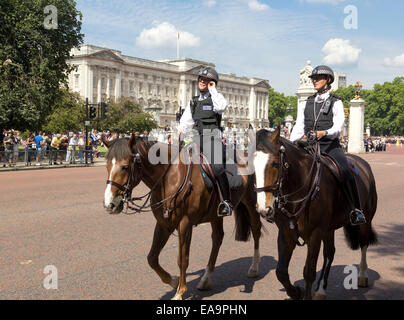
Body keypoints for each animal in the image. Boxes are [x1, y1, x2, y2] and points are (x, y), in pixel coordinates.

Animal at [101, 132, 262, 300]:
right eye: (107, 166)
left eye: (125, 167)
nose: (109, 204)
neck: (169, 179)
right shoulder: (164, 224)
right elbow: (152, 258)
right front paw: (173, 281)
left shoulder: (185, 223)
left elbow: (182, 259)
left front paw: (180, 291)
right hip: (215, 214)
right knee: (217, 238)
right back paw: (205, 279)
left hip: (251, 202)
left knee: (256, 230)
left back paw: (254, 268)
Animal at [252, 128, 378, 300]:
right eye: (252, 165)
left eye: (275, 163)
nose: (264, 209)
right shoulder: (286, 233)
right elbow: (281, 272)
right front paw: (296, 292)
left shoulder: (315, 234)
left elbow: (309, 271)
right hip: (329, 229)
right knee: (330, 253)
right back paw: (321, 290)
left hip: (366, 220)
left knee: (364, 244)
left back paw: (363, 276)